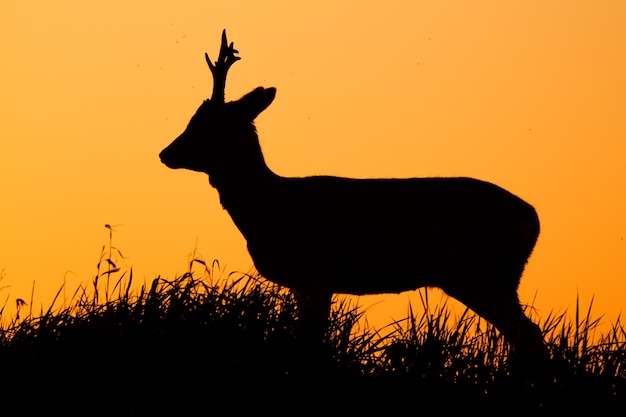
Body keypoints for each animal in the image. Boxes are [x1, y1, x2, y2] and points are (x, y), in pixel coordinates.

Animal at [160, 30, 544, 362]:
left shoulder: (316, 272)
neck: (272, 207)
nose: (165, 153)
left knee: (529, 334)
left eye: (204, 126)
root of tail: (533, 219)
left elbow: (311, 342)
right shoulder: (306, 282)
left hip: (478, 272)